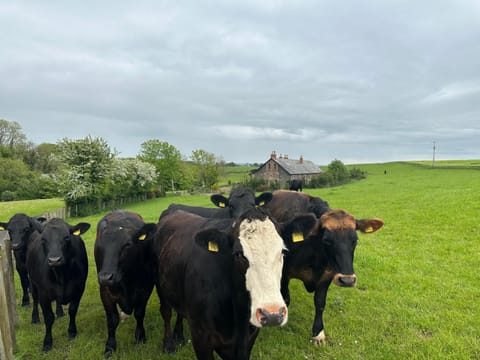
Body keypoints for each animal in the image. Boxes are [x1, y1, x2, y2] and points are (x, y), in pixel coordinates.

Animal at [26, 218, 90, 350]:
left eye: (67, 237)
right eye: (43, 239)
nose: (54, 260)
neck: (61, 275)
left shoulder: (79, 288)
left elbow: (72, 310)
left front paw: (72, 332)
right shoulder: (44, 294)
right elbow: (49, 318)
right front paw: (47, 342)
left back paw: (60, 312)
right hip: (33, 282)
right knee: (34, 300)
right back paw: (35, 318)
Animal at [95, 211, 158, 358]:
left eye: (127, 245)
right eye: (101, 245)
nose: (105, 277)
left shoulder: (145, 289)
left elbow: (139, 314)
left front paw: (140, 337)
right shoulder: (105, 292)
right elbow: (112, 320)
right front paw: (110, 346)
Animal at [153, 207, 316, 358]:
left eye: (282, 251)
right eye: (238, 254)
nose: (272, 314)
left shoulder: (249, 338)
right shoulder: (200, 336)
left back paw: (179, 335)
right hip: (160, 286)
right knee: (166, 312)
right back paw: (168, 343)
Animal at [266, 191, 382, 346]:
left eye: (355, 240)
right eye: (327, 240)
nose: (347, 280)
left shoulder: (327, 276)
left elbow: (320, 303)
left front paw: (318, 333)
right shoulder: (284, 273)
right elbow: (286, 298)